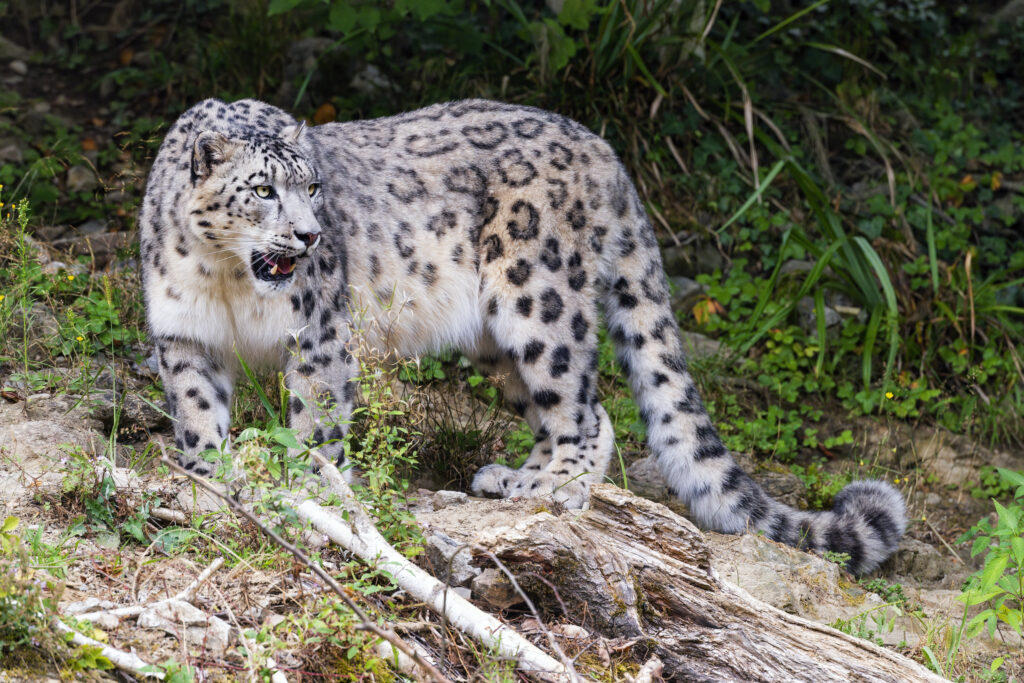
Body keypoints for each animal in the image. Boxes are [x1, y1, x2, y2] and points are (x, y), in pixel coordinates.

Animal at [139, 97, 906, 574]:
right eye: (263, 189)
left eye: (314, 186)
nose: (309, 235)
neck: (228, 279)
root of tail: (604, 149)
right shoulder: (183, 337)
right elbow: (198, 413)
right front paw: (209, 477)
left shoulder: (319, 332)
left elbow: (315, 423)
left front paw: (309, 488)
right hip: (495, 339)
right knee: (562, 409)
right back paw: (513, 478)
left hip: (536, 295)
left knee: (584, 409)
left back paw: (552, 490)